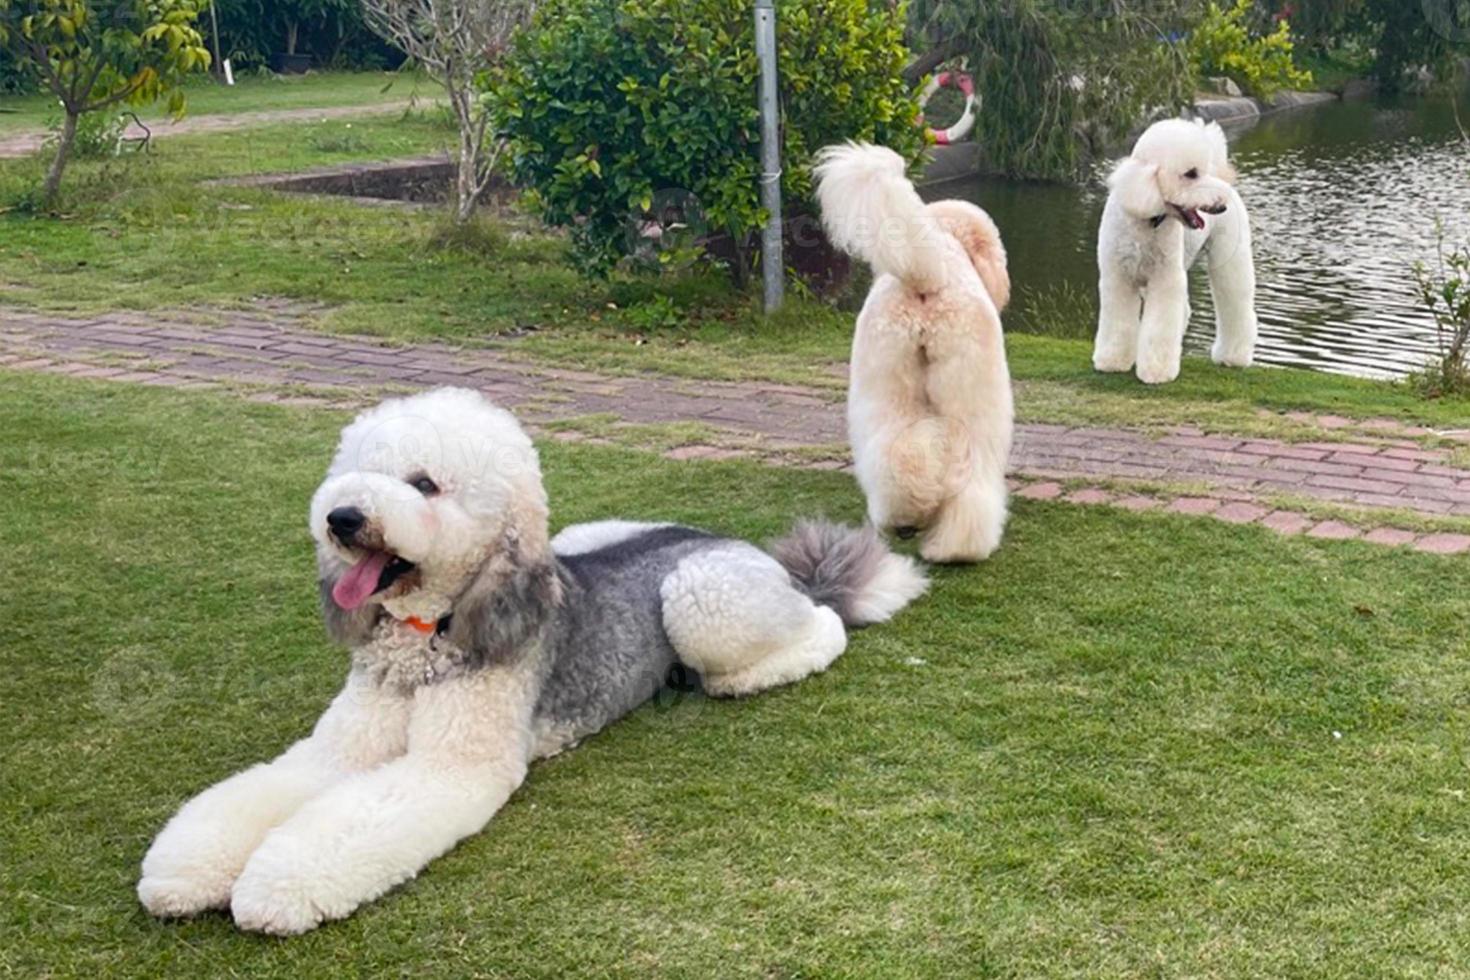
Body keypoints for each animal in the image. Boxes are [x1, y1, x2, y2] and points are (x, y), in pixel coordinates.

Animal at [132, 384, 923, 934]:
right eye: (354, 469)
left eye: (424, 483)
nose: (342, 518)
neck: (424, 639)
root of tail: (728, 541)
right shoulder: (339, 751)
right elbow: (266, 791)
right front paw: (186, 866)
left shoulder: (450, 767)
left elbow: (349, 821)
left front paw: (275, 889)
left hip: (702, 599)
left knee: (823, 625)